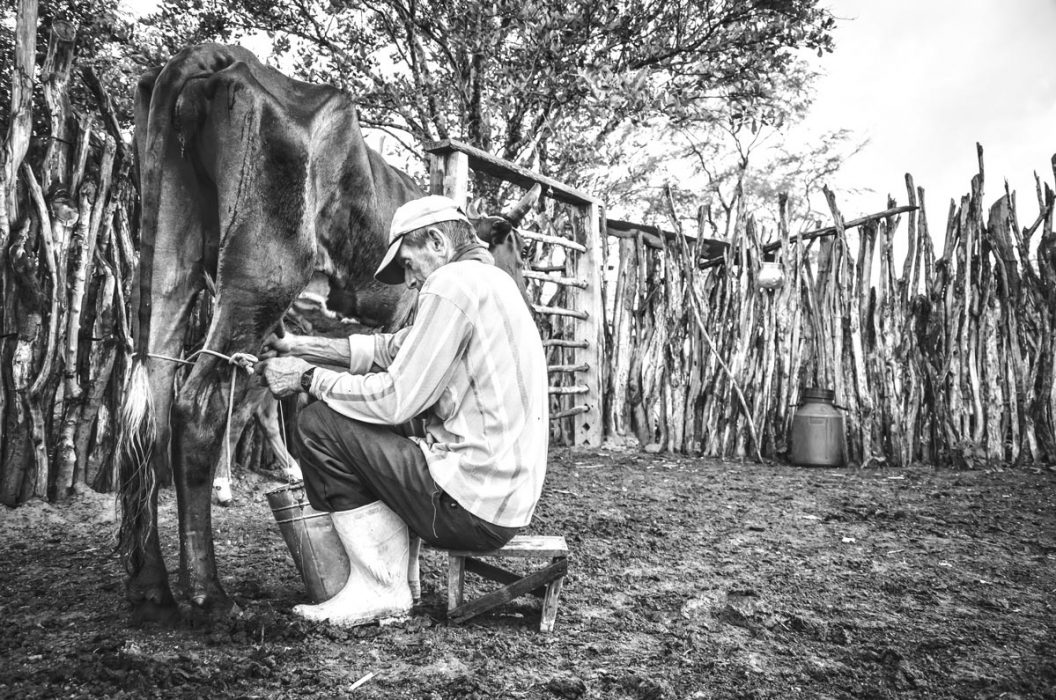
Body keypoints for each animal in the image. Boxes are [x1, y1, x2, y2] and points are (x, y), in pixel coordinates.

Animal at [119, 43, 540, 620]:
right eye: (515, 250)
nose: (526, 294)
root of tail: (218, 55)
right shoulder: (407, 311)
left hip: (169, 254)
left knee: (153, 399)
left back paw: (150, 583)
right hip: (263, 272)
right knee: (200, 406)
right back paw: (207, 591)